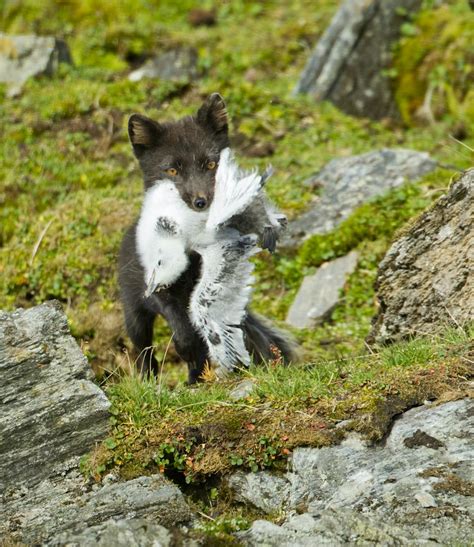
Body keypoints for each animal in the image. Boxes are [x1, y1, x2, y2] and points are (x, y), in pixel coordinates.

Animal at [118, 94, 296, 384]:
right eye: (172, 170)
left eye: (211, 164)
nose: (202, 201)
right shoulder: (159, 288)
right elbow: (182, 329)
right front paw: (187, 348)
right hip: (133, 313)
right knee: (144, 350)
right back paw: (150, 381)